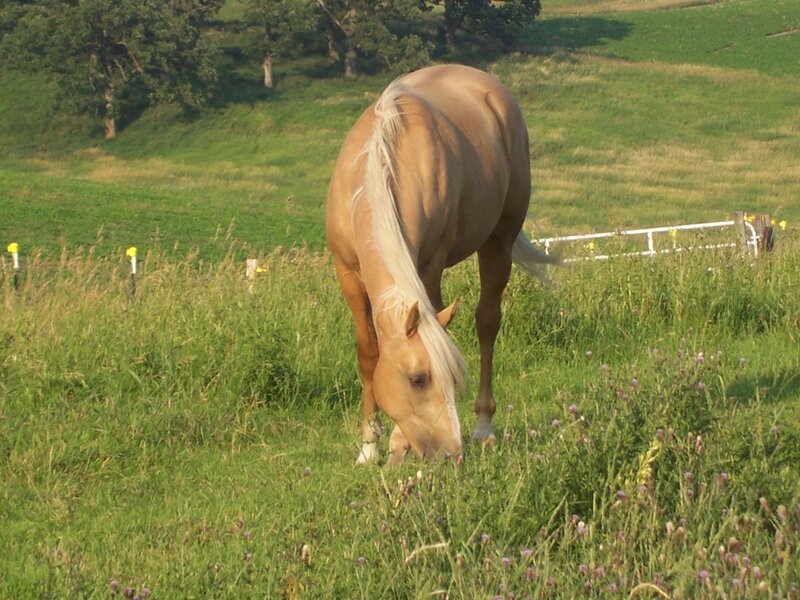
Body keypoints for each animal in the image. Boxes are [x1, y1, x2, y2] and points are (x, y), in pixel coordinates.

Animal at [326, 64, 555, 466]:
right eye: (418, 379)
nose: (450, 452)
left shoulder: (429, 266)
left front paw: (397, 444)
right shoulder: (348, 273)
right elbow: (368, 352)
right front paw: (369, 444)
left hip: (498, 241)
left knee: (487, 322)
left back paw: (484, 426)